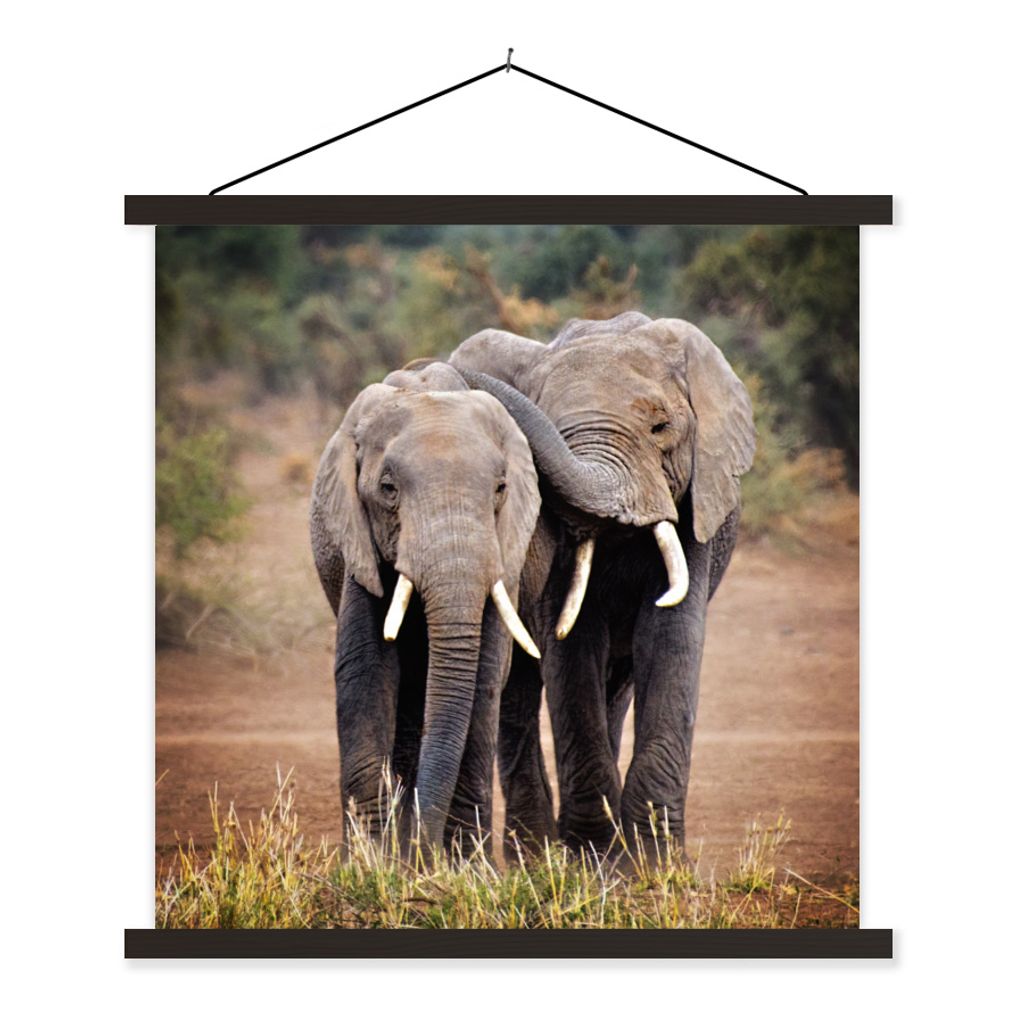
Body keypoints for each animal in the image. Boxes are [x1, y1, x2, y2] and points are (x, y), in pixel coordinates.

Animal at [309, 361, 544, 853]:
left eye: (500, 488)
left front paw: (463, 865)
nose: (423, 850)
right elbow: (365, 669)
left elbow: (483, 677)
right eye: (388, 489)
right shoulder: (360, 544)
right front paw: (370, 862)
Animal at [449, 312, 756, 855]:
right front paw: (590, 856)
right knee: (519, 693)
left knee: (618, 685)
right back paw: (534, 854)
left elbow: (671, 637)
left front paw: (651, 862)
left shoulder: (695, 504)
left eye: (661, 427)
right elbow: (572, 646)